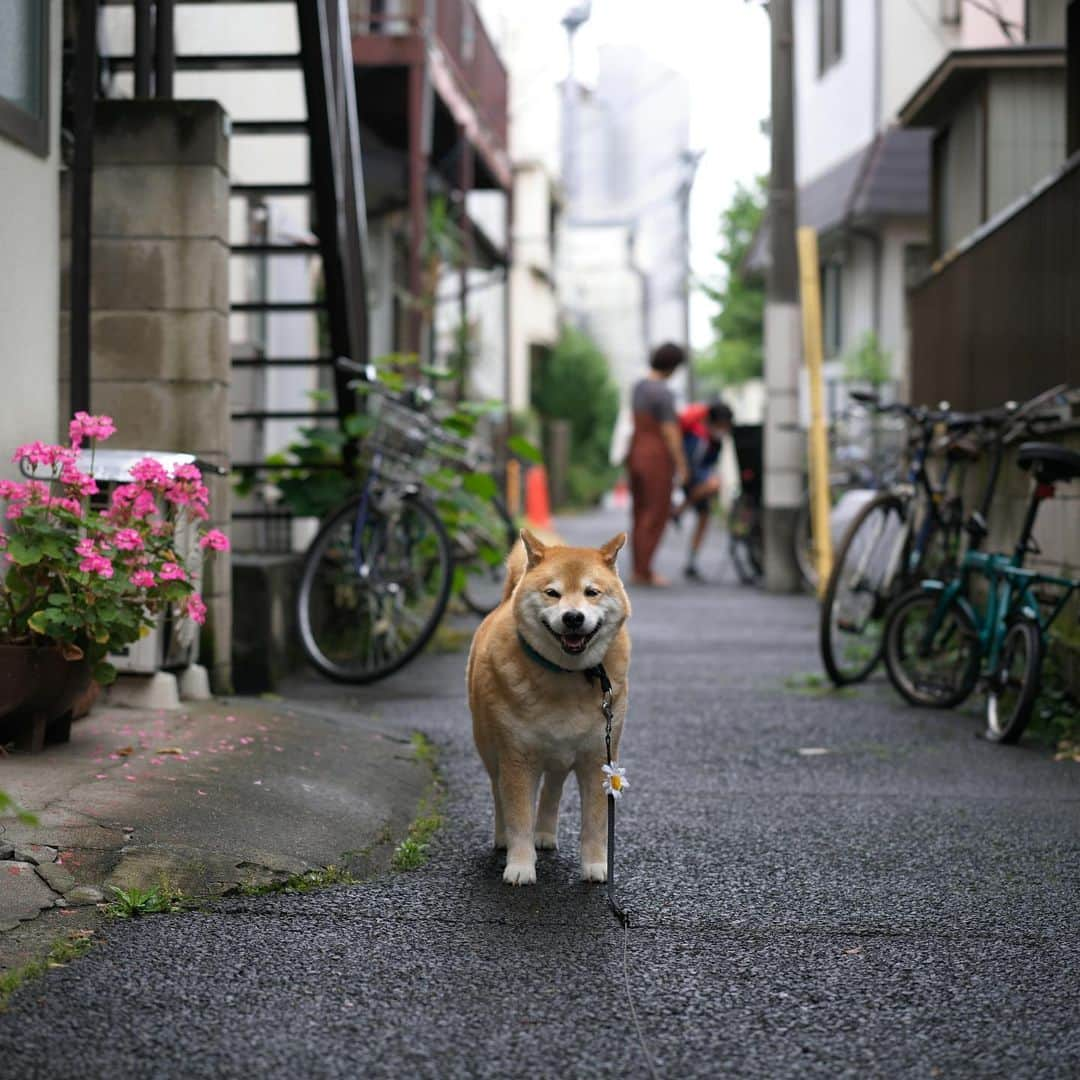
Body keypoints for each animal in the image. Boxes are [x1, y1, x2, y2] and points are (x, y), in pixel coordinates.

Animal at [466, 524, 630, 885]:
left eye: (592, 592)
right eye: (552, 593)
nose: (573, 617)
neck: (565, 676)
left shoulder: (598, 758)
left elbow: (595, 823)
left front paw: (597, 865)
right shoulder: (516, 759)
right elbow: (518, 817)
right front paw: (520, 865)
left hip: (559, 756)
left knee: (552, 791)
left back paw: (544, 833)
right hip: (491, 750)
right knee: (499, 793)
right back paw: (503, 837)